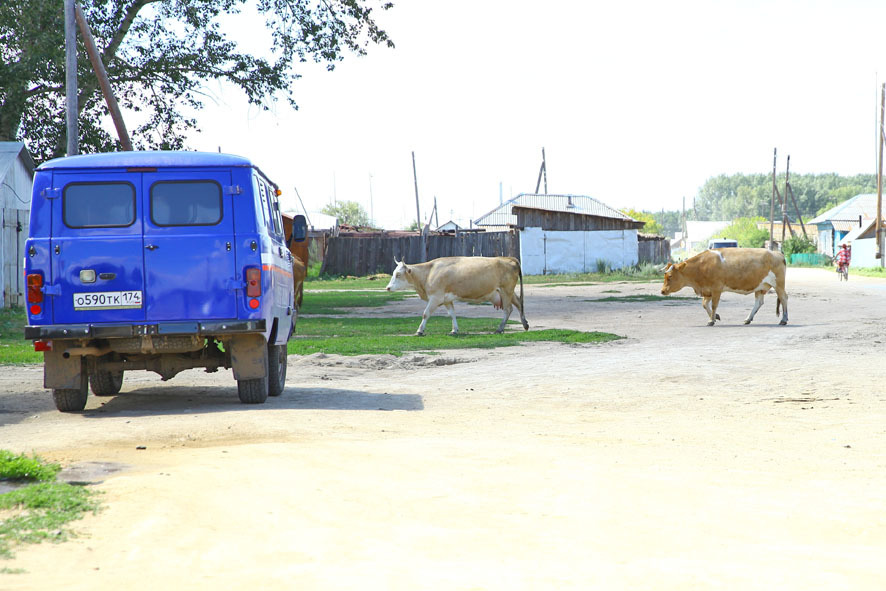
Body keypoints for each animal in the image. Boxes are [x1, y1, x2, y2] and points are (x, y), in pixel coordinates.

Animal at [386, 256, 528, 338]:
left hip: (506, 291)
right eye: (393, 273)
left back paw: (500, 329)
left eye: (398, 274)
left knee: (508, 309)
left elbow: (425, 314)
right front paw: (454, 330)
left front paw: (419, 331)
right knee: (519, 304)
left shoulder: (435, 298)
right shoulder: (447, 300)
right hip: (508, 292)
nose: (387, 288)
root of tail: (508, 258)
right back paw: (525, 324)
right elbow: (452, 314)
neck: (429, 272)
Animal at [660, 247, 792, 326]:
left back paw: (784, 320)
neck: (701, 267)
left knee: (784, 298)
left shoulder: (716, 288)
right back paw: (748, 319)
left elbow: (714, 305)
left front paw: (711, 320)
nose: (662, 291)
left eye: (670, 276)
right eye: (664, 275)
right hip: (760, 286)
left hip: (778, 284)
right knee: (759, 302)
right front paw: (715, 317)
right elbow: (704, 304)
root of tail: (777, 253)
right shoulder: (708, 290)